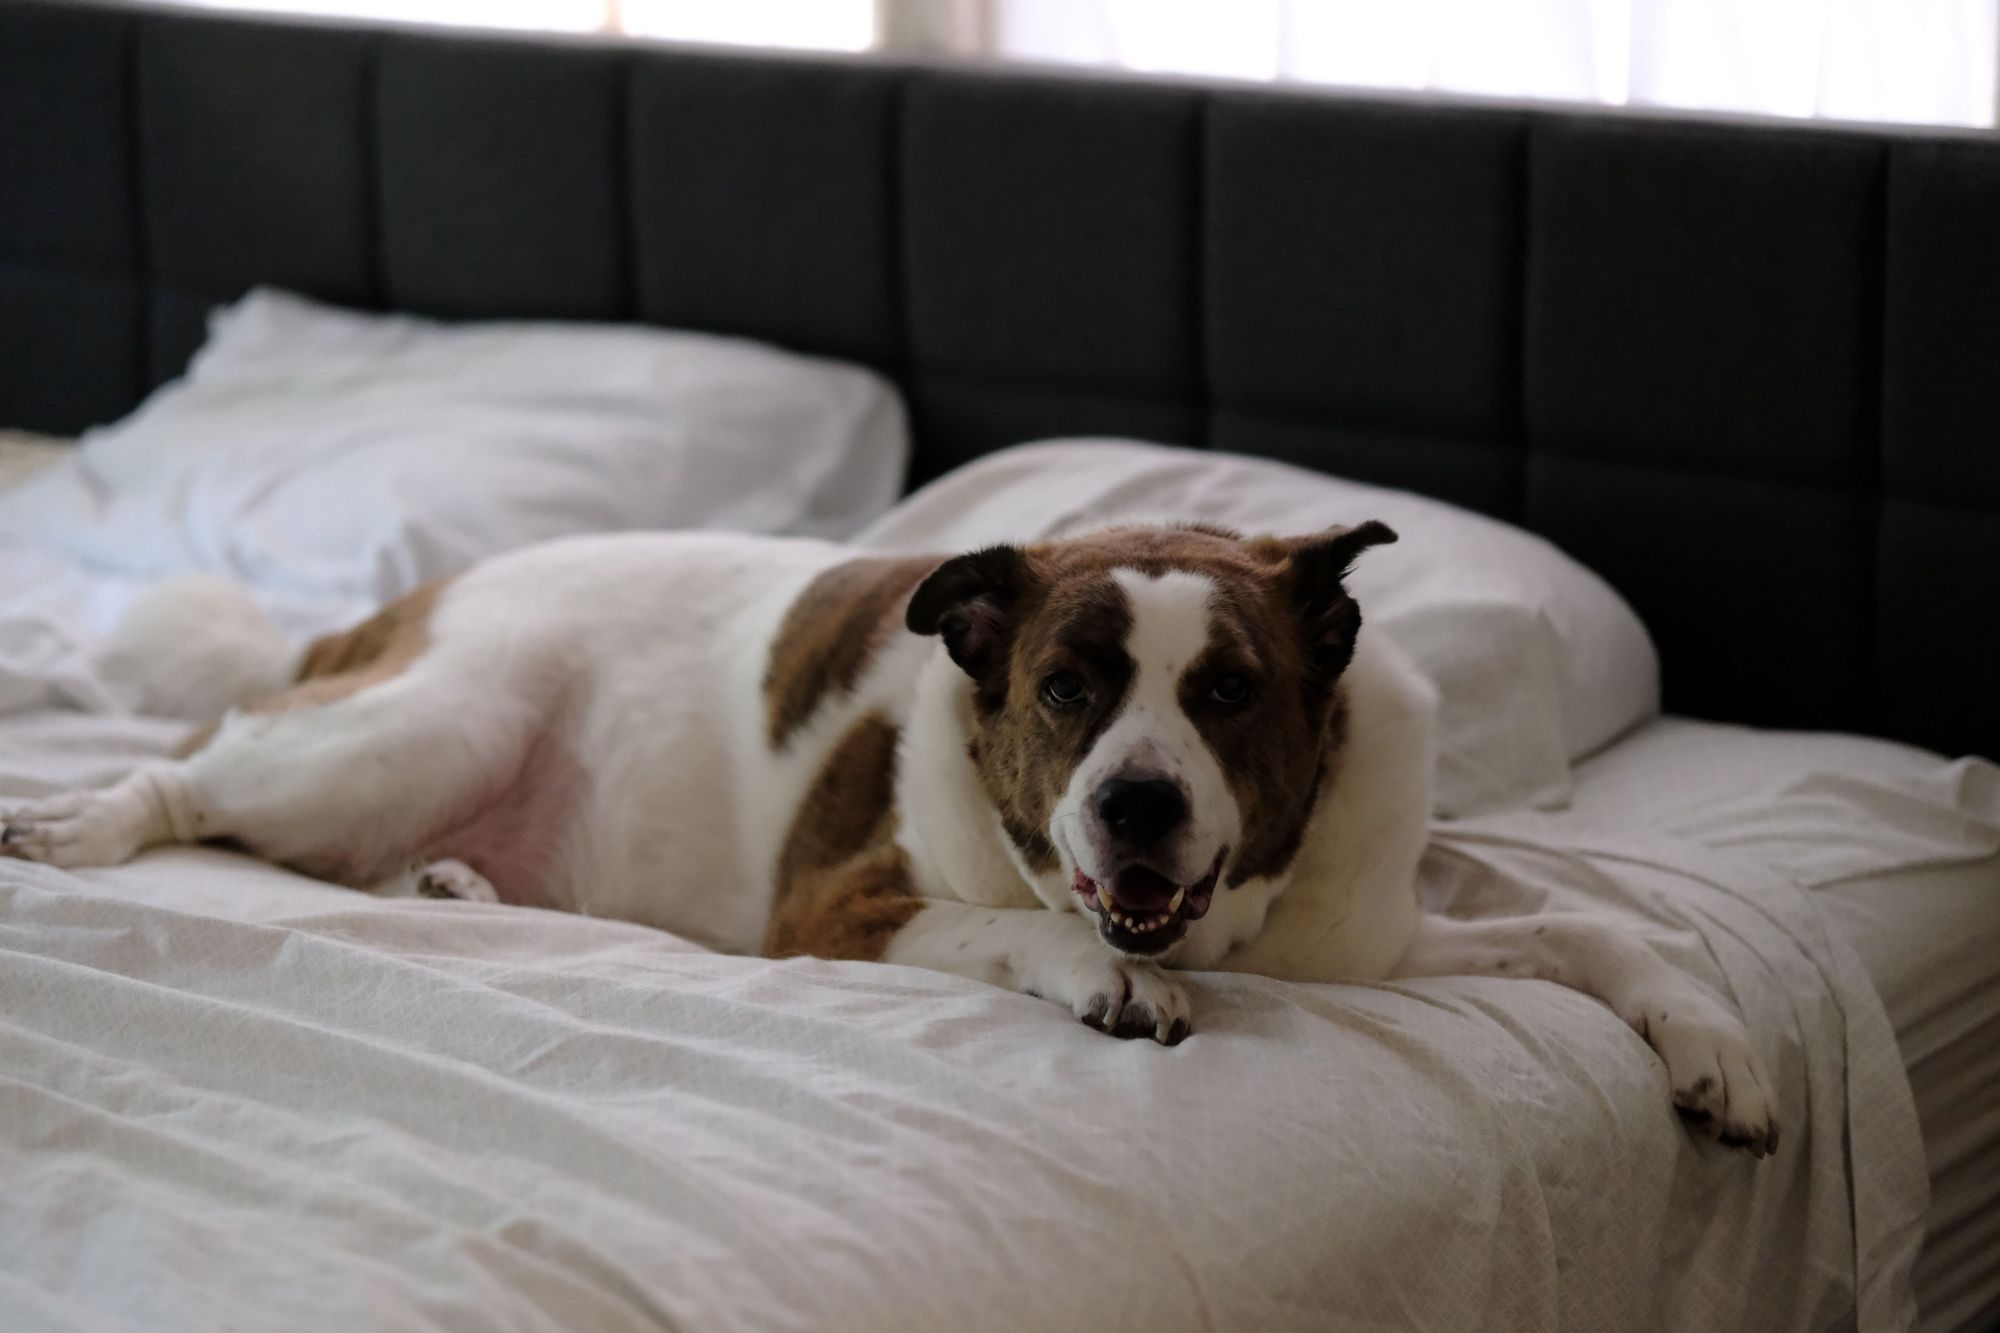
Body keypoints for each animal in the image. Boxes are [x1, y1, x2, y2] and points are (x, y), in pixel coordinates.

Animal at [7, 520, 1776, 1152]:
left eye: (1227, 692)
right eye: (1066, 688)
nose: (1136, 803)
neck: (1230, 930)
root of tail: (403, 601)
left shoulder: (1370, 945)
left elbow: (1597, 925)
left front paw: (1718, 1052)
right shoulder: (837, 907)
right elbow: (1015, 921)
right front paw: (1103, 978)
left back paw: (450, 884)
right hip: (423, 722)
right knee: (205, 777)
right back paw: (77, 825)